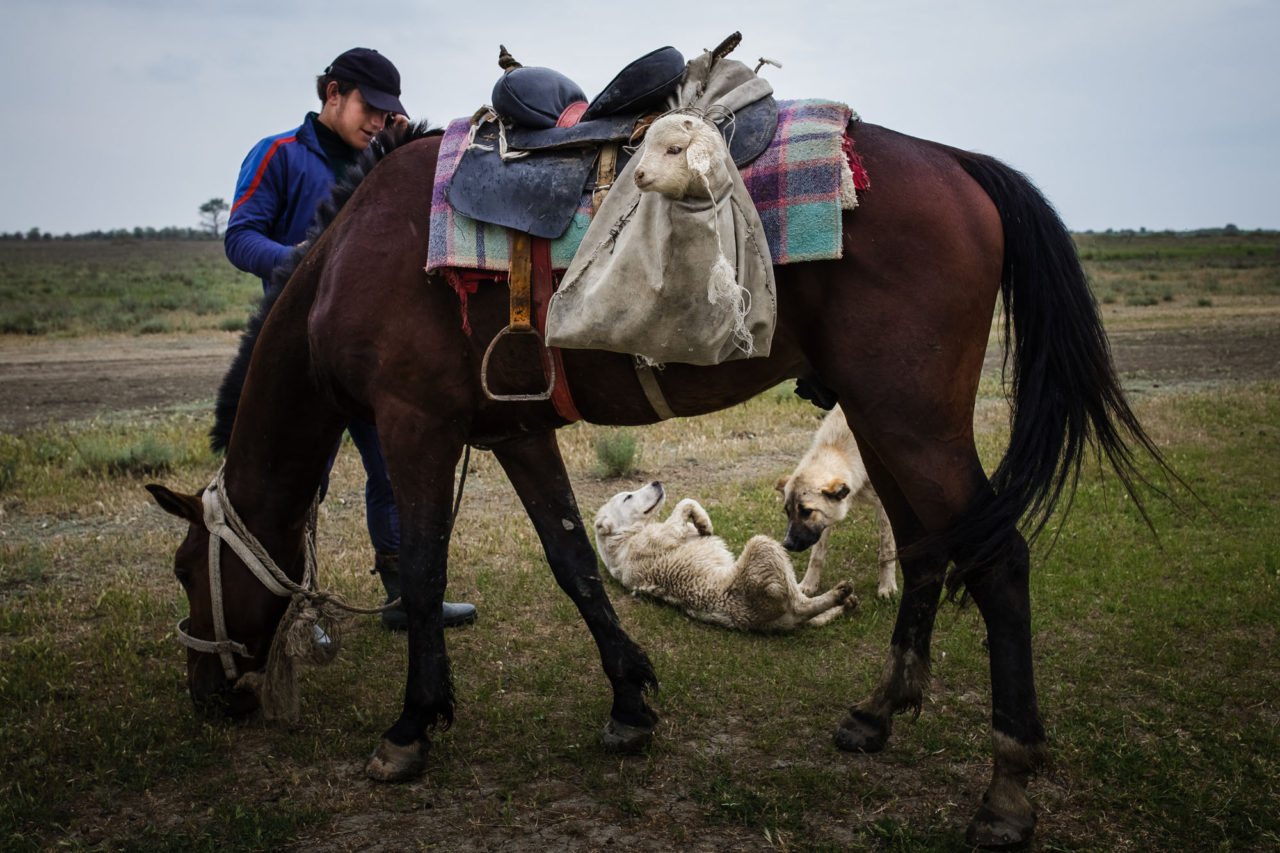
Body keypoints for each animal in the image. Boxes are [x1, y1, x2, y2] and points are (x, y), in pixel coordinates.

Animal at [591, 479, 855, 630]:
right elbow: (678, 515)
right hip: (753, 572)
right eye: (628, 496)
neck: (622, 538)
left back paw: (844, 604)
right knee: (797, 602)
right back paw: (838, 594)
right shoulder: (646, 544)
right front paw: (703, 523)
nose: (656, 482)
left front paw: (703, 524)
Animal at [768, 404, 901, 596]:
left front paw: (887, 586)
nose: (787, 544)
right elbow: (817, 555)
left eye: (806, 511)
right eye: (787, 512)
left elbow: (887, 551)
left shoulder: (884, 507)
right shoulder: (823, 522)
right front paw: (809, 584)